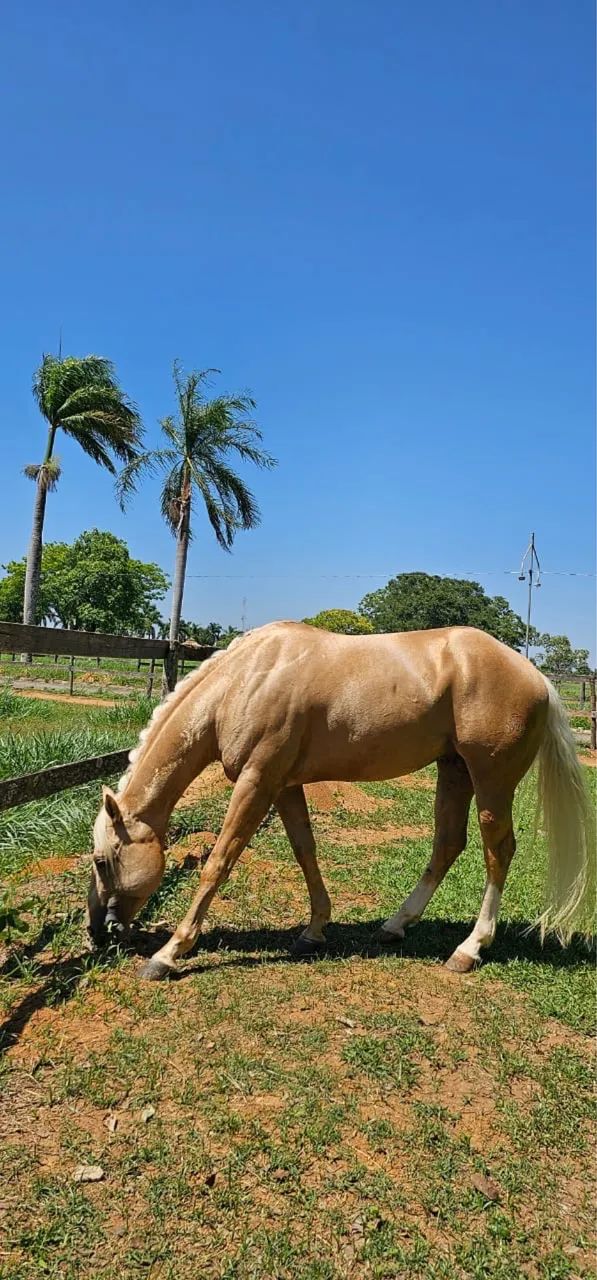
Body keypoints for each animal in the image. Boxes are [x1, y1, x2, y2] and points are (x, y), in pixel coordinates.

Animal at [87, 621, 593, 980]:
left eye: (102, 860)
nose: (98, 931)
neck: (246, 680)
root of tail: (537, 678)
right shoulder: (283, 785)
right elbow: (305, 851)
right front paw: (313, 931)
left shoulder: (256, 782)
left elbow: (219, 863)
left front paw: (168, 953)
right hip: (454, 771)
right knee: (448, 844)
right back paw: (394, 926)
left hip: (491, 780)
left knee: (498, 852)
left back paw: (468, 949)